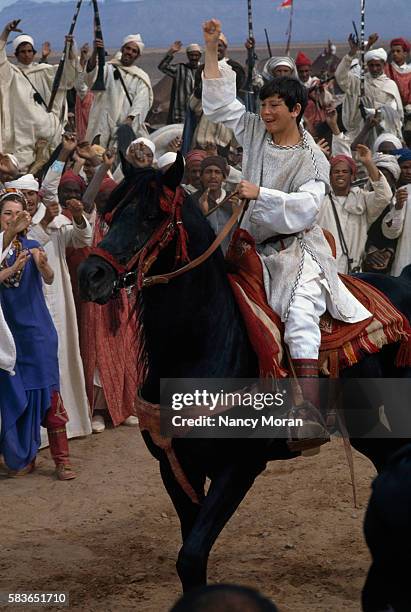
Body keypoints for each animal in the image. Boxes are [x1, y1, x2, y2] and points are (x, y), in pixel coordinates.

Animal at [78, 161, 411, 592]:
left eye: (152, 216)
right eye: (112, 213)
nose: (91, 275)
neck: (202, 347)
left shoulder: (239, 468)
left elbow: (191, 556)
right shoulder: (175, 468)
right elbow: (190, 557)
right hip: (365, 424)